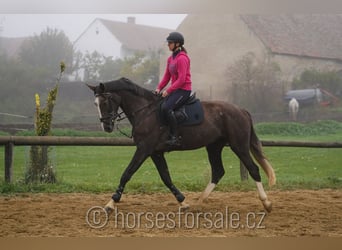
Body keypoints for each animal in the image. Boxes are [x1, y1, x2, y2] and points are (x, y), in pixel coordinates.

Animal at [87, 77, 276, 212]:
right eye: (95, 104)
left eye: (105, 102)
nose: (106, 127)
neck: (145, 111)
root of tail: (241, 110)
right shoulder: (155, 152)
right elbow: (166, 177)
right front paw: (183, 202)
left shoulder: (144, 149)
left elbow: (127, 174)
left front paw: (111, 203)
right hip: (214, 146)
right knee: (218, 171)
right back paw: (200, 201)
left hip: (239, 146)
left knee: (253, 169)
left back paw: (266, 203)